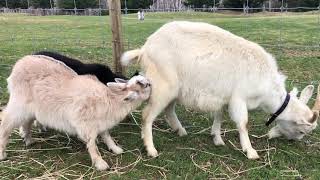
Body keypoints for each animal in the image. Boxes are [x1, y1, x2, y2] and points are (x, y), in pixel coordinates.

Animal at [0, 54, 151, 170]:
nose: (151, 83)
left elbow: (106, 136)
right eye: (142, 84)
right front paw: (100, 164)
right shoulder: (85, 125)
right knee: (5, 123)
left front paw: (115, 149)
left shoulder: (101, 123)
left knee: (27, 123)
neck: (111, 99)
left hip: (31, 109)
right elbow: (92, 145)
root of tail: (20, 63)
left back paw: (29, 141)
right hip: (19, 105)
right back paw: (3, 153)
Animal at [121, 20, 318, 159]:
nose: (294, 141)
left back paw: (180, 130)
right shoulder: (239, 98)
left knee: (169, 109)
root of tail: (145, 48)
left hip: (174, 90)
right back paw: (151, 149)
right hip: (163, 85)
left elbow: (219, 115)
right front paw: (250, 151)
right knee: (147, 115)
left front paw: (217, 138)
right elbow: (243, 123)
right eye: (301, 131)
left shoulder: (224, 96)